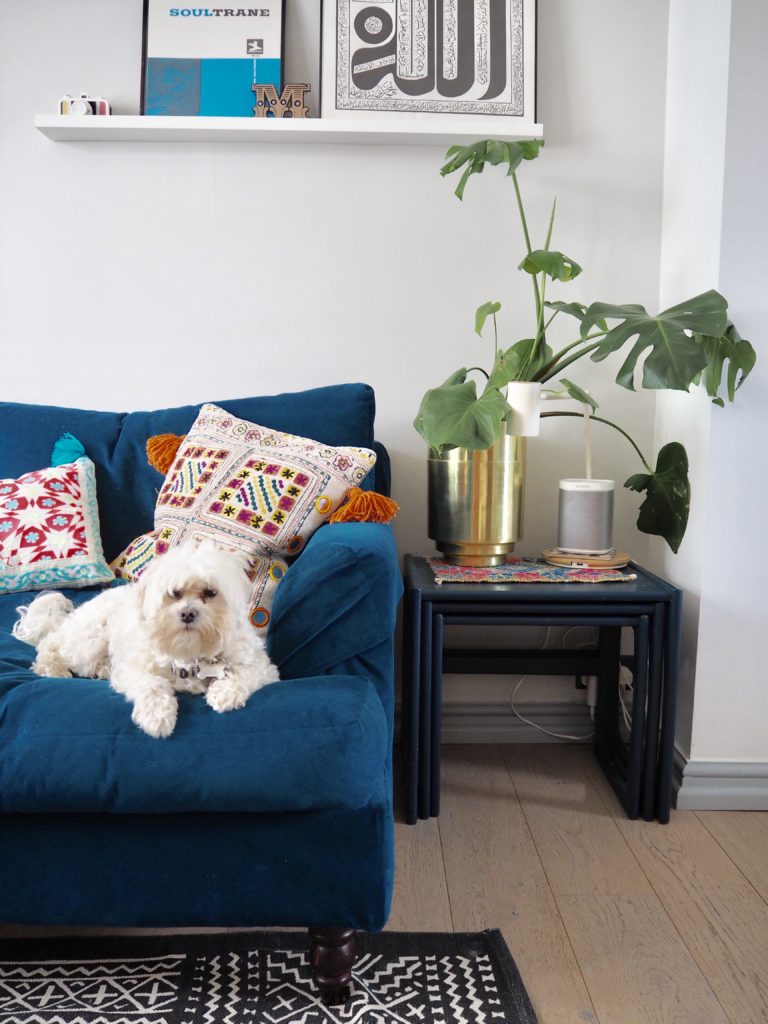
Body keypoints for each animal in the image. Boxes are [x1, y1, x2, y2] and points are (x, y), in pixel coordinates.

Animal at [12, 540, 280, 741]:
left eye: (211, 592)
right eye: (174, 593)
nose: (188, 613)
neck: (189, 650)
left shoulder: (263, 667)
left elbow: (244, 674)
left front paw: (225, 693)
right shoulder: (133, 668)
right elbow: (152, 685)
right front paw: (157, 717)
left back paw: (102, 669)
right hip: (89, 640)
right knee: (49, 644)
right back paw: (53, 668)